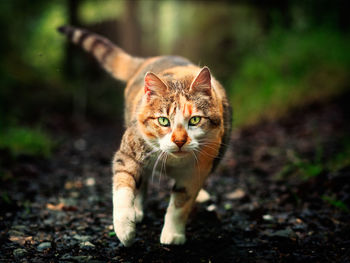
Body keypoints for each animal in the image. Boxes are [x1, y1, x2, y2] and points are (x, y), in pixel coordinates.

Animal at [58, 24, 232, 248]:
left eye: (194, 120)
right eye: (163, 121)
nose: (179, 141)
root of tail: (147, 60)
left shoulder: (197, 170)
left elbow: (180, 204)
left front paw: (173, 235)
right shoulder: (129, 152)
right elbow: (122, 186)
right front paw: (125, 228)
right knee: (142, 180)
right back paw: (137, 210)